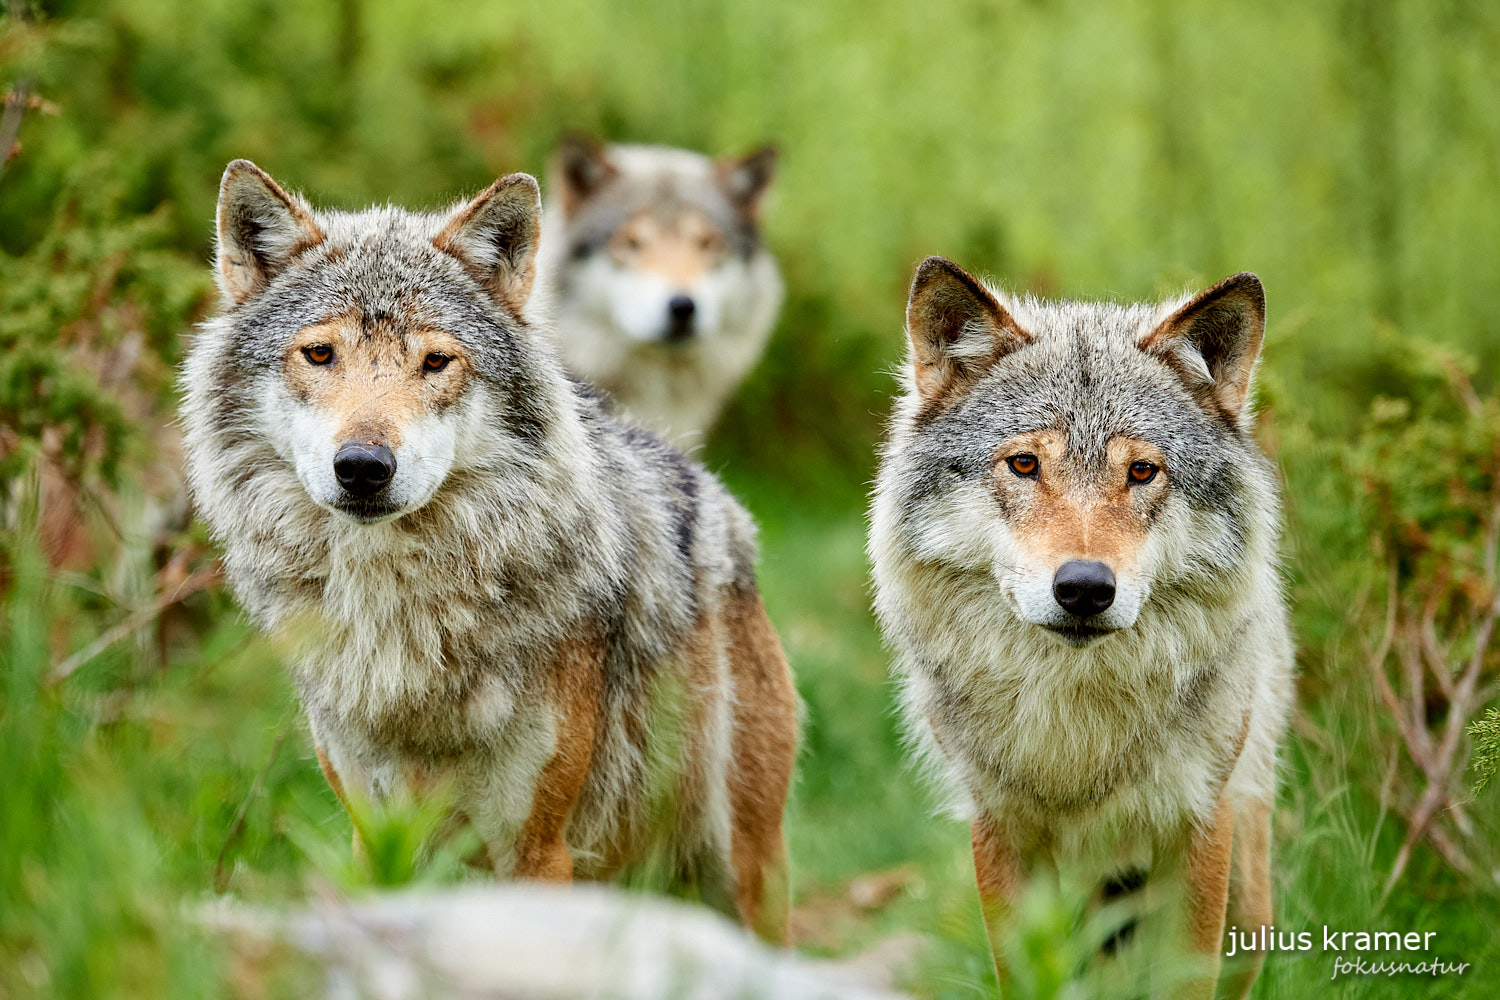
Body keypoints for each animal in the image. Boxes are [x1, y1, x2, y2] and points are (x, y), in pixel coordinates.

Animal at [876, 256, 1296, 995]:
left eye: (1142, 471)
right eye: (1024, 464)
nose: (1083, 588)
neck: (1076, 736)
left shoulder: (1198, 827)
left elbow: (1184, 981)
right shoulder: (1000, 832)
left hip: (1247, 895)